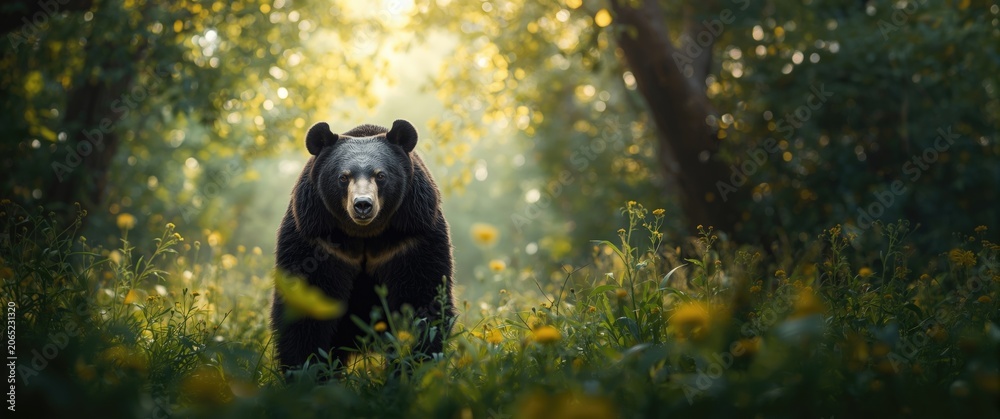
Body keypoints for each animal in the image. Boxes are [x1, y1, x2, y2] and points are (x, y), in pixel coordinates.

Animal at [270, 119, 455, 376]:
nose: (363, 205)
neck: (365, 234)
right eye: (343, 177)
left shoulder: (413, 238)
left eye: (381, 175)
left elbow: (422, 299)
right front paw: (307, 371)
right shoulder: (315, 239)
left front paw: (413, 368)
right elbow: (305, 308)